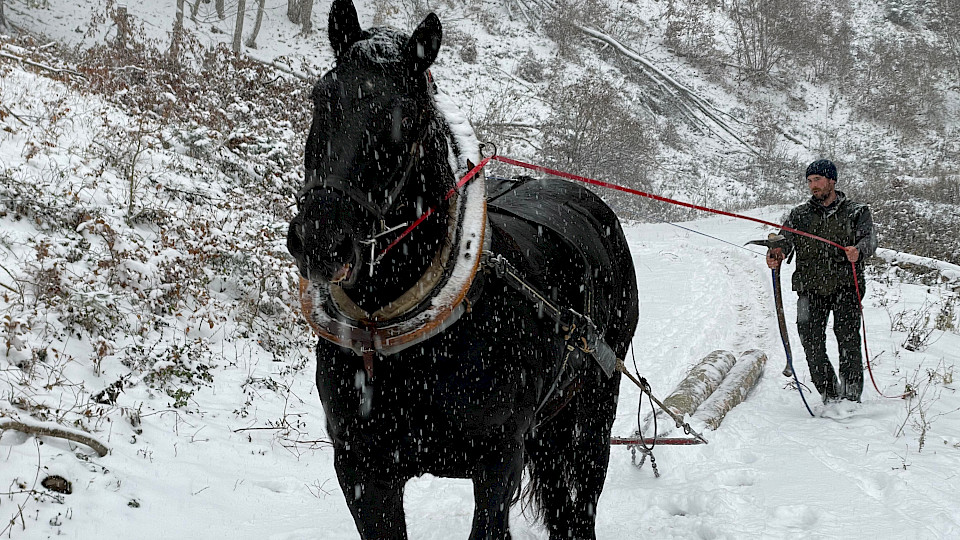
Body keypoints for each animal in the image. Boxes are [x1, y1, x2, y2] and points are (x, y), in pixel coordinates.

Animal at [288, 2, 640, 536]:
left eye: (407, 115)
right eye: (320, 96)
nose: (321, 240)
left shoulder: (497, 465)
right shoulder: (363, 473)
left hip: (591, 417)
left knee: (577, 510)